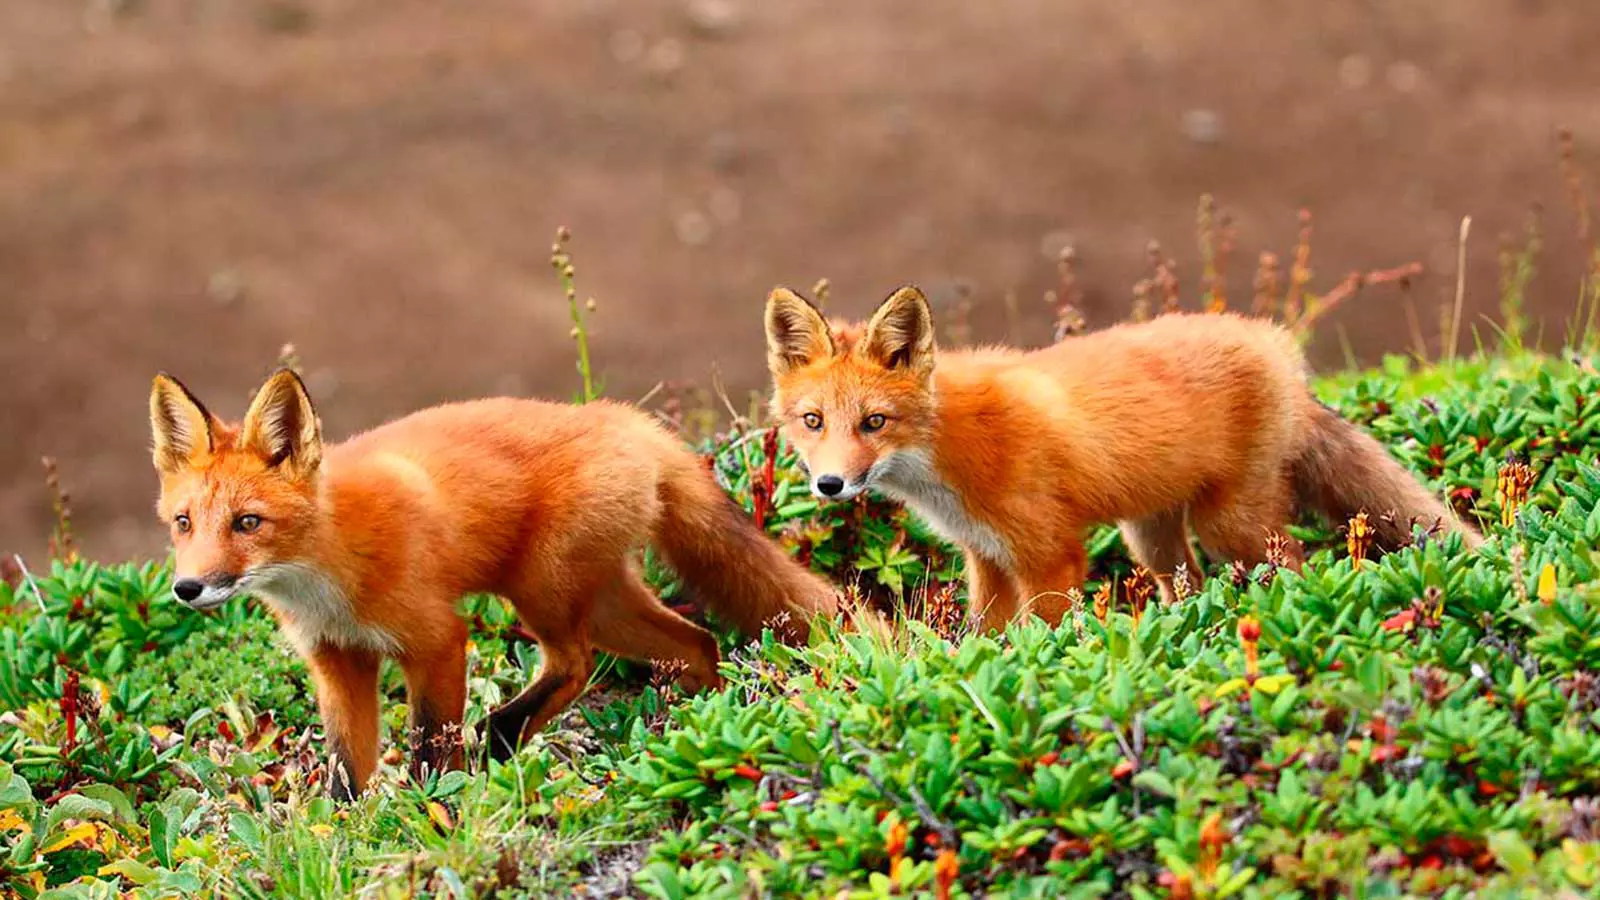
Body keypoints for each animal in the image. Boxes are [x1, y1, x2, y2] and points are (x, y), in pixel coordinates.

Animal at [151, 368, 844, 794]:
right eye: (184, 523)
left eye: (247, 522)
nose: (188, 589)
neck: (329, 566)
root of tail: (624, 419)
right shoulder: (338, 659)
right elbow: (348, 771)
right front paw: (344, 832)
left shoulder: (437, 640)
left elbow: (429, 747)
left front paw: (430, 812)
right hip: (603, 603)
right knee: (696, 643)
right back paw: (687, 722)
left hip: (542, 592)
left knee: (574, 664)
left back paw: (502, 738)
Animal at [764, 283, 1484, 627]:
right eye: (813, 421)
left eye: (874, 422)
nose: (830, 485)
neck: (951, 456)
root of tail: (1276, 344)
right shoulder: (987, 559)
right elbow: (987, 639)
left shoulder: (1051, 555)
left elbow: (1044, 633)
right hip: (1151, 537)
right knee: (1185, 583)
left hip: (1232, 525)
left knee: (1299, 567)